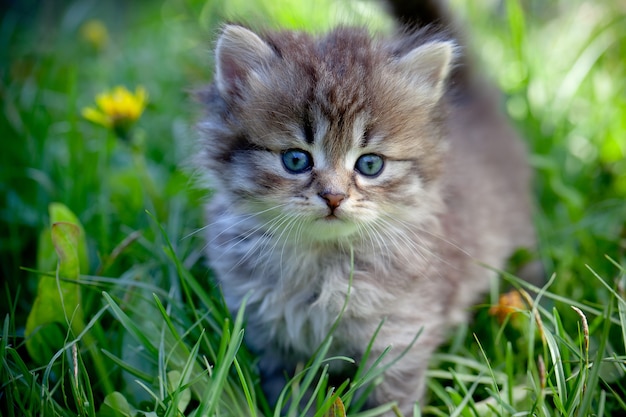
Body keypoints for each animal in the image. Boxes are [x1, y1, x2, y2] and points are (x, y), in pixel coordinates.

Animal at [195, 0, 532, 412]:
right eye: (295, 160)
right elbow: (291, 395)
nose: (334, 196)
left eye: (370, 165)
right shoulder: (273, 338)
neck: (323, 263)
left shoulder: (400, 333)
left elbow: (391, 401)